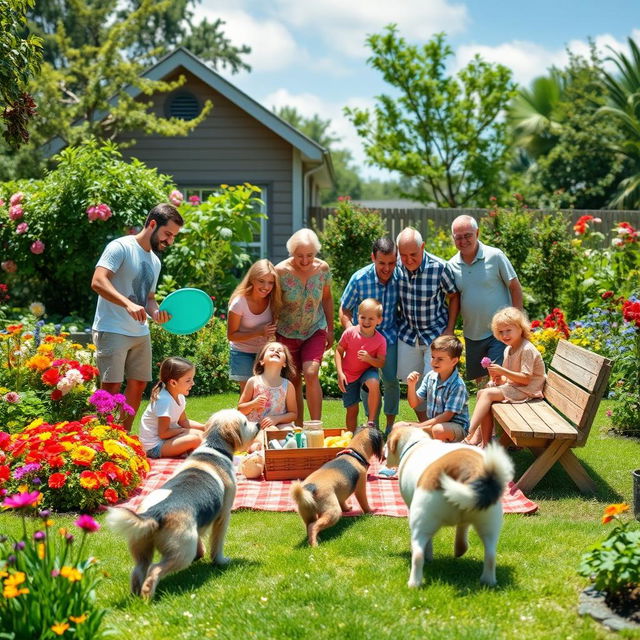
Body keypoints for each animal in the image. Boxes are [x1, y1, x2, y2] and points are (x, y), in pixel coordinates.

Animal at [106, 410, 258, 600]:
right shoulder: (223, 515)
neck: (214, 450)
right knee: (154, 570)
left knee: (139, 570)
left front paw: (201, 554)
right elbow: (217, 544)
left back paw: (137, 597)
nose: (258, 424)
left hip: (141, 544)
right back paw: (148, 596)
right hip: (182, 550)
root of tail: (154, 513)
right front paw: (220, 561)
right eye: (245, 422)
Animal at [384, 428, 516, 588]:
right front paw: (460, 549)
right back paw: (488, 581)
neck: (417, 443)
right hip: (489, 522)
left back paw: (414, 583)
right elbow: (462, 529)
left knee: (418, 555)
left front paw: (430, 557)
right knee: (490, 555)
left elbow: (429, 545)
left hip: (422, 519)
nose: (383, 451)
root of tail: (466, 469)